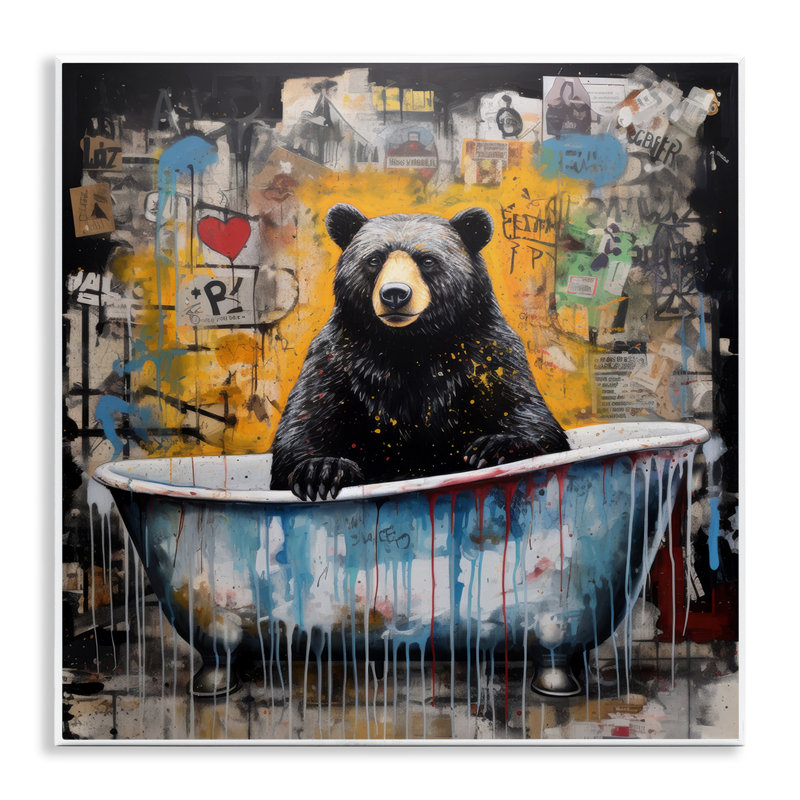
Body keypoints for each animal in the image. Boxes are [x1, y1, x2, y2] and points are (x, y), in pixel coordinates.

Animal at [270, 203, 569, 500]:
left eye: (427, 260)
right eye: (375, 259)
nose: (395, 293)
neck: (411, 343)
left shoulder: (487, 353)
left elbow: (527, 410)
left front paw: (494, 447)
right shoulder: (338, 360)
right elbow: (306, 420)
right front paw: (321, 469)